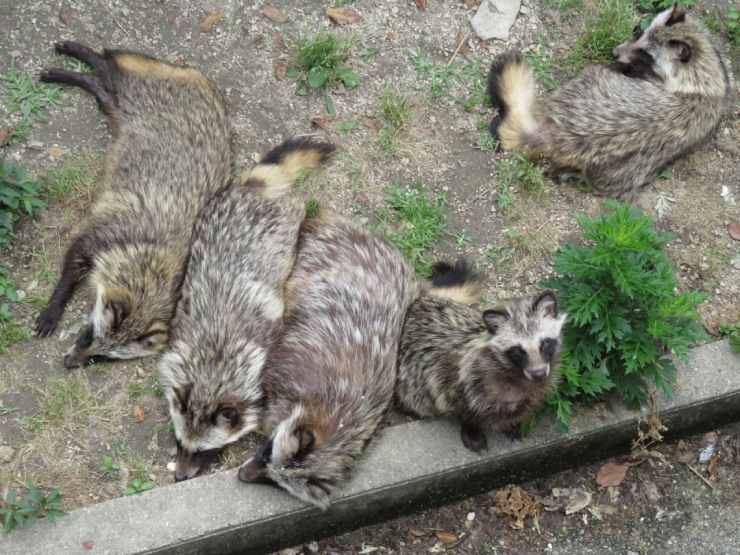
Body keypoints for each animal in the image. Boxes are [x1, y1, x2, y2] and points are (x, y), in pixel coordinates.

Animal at [34, 40, 230, 370]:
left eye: (100, 358)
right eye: (88, 333)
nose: (69, 363)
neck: (153, 256)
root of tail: (201, 82)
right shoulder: (108, 229)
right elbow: (73, 259)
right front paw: (55, 303)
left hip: (125, 110)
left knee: (103, 95)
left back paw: (86, 77)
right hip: (146, 91)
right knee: (110, 70)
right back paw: (82, 57)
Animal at [162, 139, 338, 482]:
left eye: (204, 451)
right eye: (179, 442)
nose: (180, 477)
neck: (214, 366)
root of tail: (249, 190)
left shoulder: (264, 351)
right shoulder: (184, 335)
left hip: (285, 224)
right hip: (210, 213)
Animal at [396, 262, 564, 452]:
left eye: (545, 343)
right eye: (518, 350)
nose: (538, 374)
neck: (518, 376)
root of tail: (420, 302)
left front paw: (513, 424)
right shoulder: (455, 379)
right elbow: (463, 407)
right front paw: (472, 428)